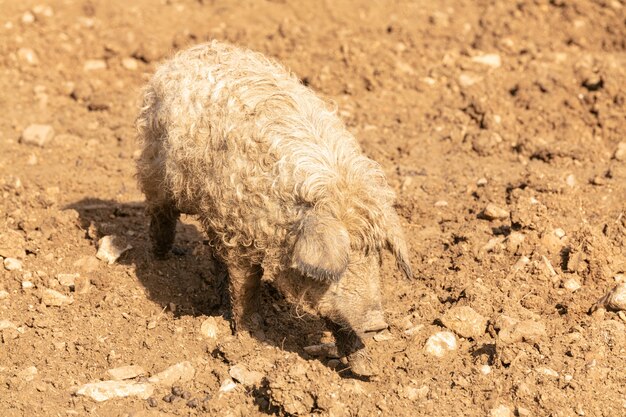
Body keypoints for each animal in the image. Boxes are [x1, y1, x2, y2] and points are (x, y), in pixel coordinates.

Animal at [134, 40, 412, 376]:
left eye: (376, 257)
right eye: (345, 260)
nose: (378, 323)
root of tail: (186, 53)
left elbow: (336, 315)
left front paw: (367, 371)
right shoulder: (239, 232)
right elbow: (245, 285)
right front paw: (249, 337)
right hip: (154, 165)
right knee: (160, 214)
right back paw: (160, 261)